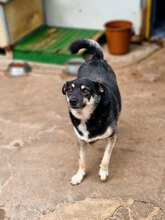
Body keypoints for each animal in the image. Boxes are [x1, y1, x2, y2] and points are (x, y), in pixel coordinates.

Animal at [62, 38, 121, 185]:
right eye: (69, 90)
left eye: (86, 91)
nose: (72, 101)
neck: (87, 116)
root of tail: (96, 58)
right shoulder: (80, 140)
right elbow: (81, 161)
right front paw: (79, 175)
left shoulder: (112, 137)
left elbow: (106, 157)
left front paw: (103, 172)